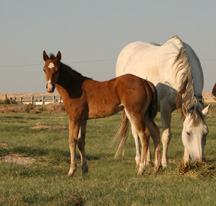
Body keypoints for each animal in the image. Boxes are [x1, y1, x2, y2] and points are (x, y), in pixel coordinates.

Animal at [116, 35, 209, 167]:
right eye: (188, 133)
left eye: (205, 133)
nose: (200, 161)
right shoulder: (166, 107)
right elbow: (166, 135)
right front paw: (164, 163)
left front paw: (186, 162)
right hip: (131, 110)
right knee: (135, 132)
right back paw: (139, 160)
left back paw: (148, 161)